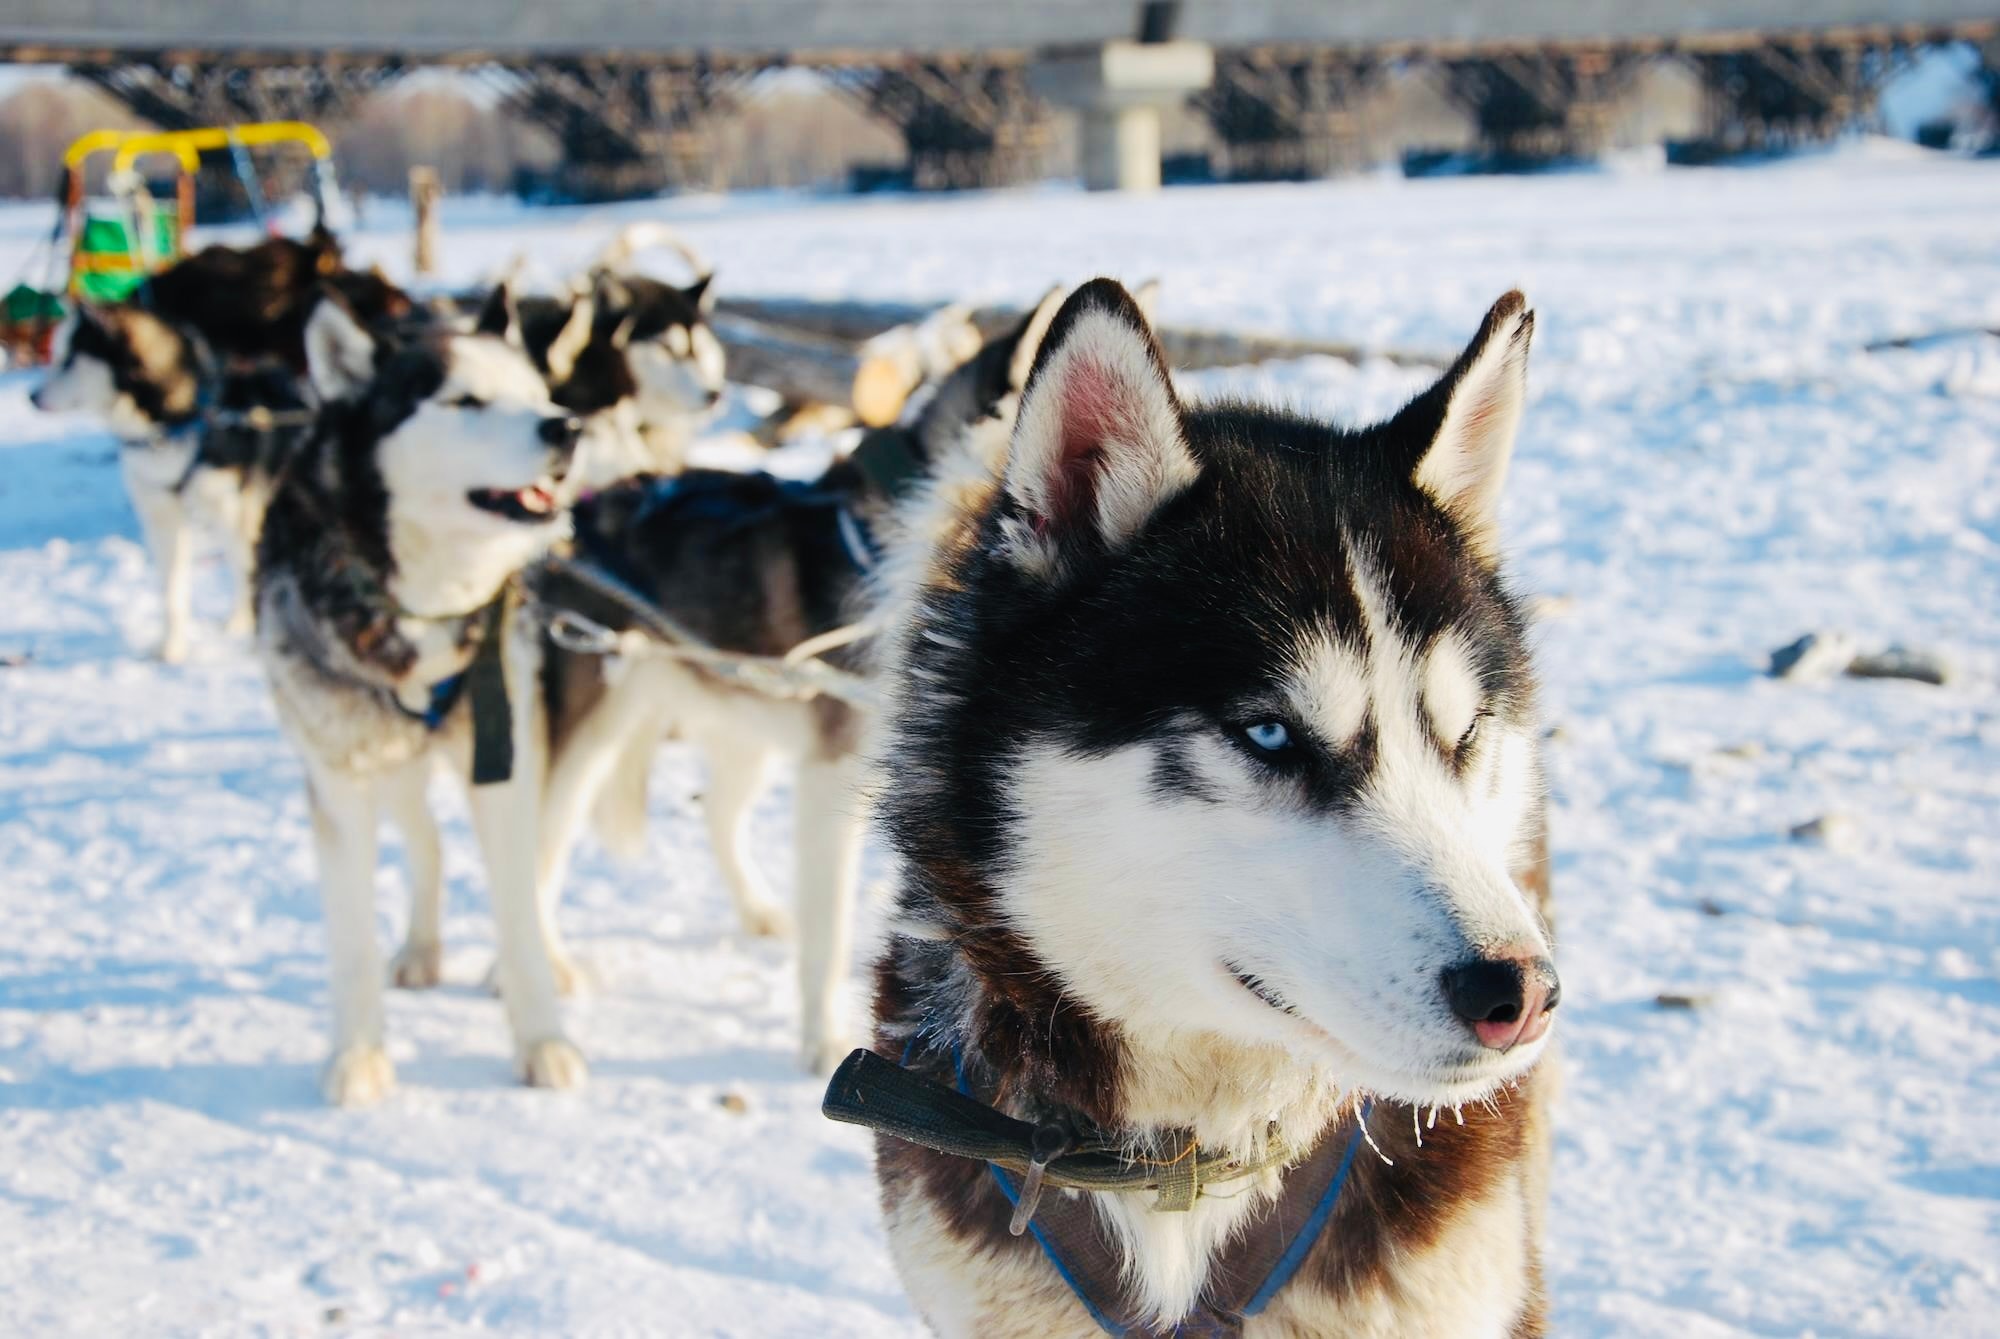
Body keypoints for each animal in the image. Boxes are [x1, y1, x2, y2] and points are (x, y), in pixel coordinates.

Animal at [28, 303, 312, 659]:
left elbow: (249, 577)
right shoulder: (163, 517)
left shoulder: (236, 515)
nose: (31, 396)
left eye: (68, 360)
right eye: (55, 356)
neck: (182, 419)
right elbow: (172, 591)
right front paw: (172, 647)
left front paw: (250, 634)